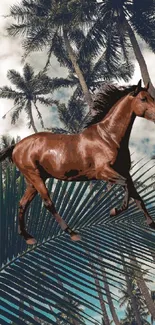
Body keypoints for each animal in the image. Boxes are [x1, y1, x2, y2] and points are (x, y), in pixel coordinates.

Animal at [0, 79, 155, 244]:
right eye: (143, 99)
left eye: (152, 97)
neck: (108, 137)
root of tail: (16, 146)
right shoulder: (103, 172)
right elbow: (126, 186)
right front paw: (114, 211)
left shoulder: (125, 171)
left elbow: (137, 196)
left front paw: (151, 223)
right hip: (35, 177)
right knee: (48, 203)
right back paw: (72, 233)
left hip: (33, 181)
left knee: (22, 204)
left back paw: (27, 237)